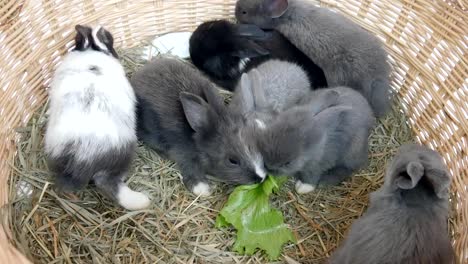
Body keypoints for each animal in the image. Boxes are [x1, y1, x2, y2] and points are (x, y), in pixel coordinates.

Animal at [131, 56, 266, 196]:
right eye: (232, 161)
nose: (260, 178)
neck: (199, 145)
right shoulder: (184, 155)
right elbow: (191, 169)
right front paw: (203, 189)